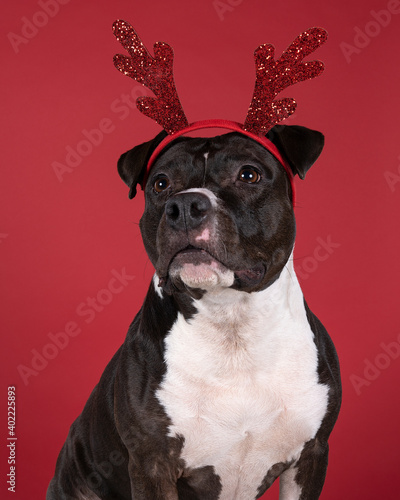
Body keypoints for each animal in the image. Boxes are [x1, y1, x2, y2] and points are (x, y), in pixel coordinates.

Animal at [47, 122, 340, 500]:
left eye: (249, 174)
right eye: (160, 183)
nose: (184, 204)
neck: (232, 326)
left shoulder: (311, 456)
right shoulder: (152, 464)